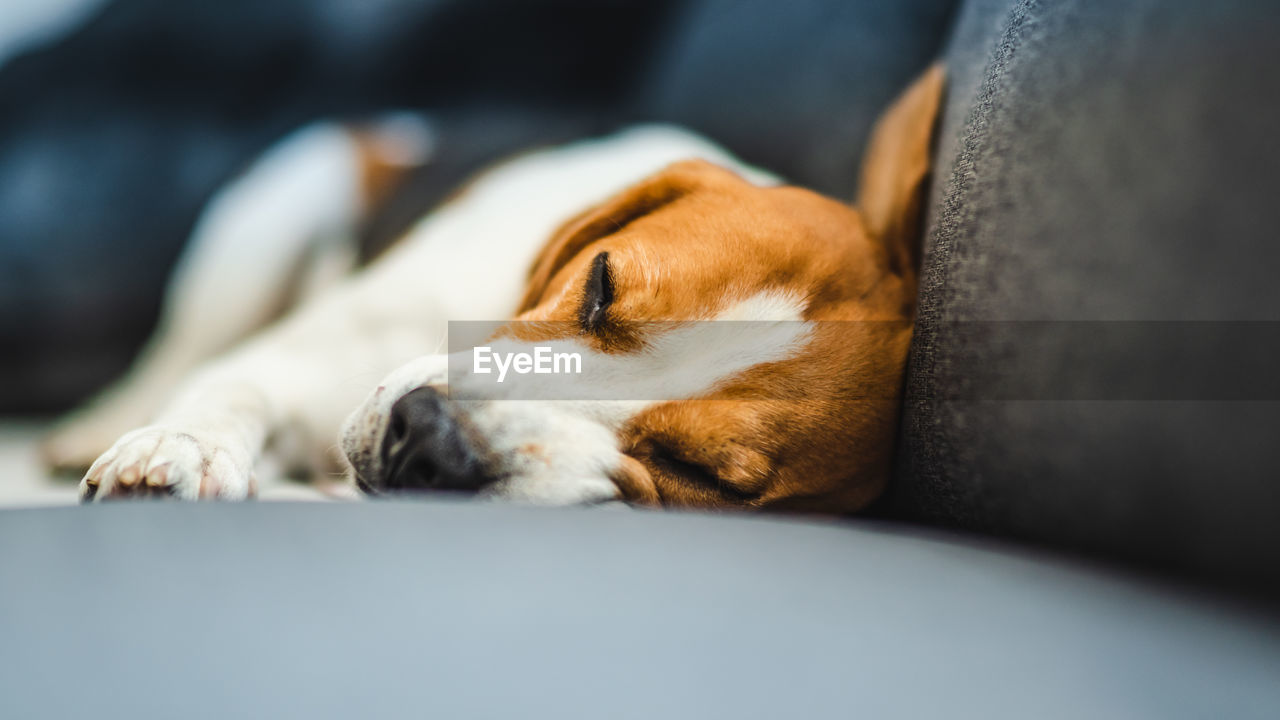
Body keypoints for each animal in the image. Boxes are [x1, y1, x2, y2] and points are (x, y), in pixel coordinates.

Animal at [45, 64, 947, 507]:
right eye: (599, 284)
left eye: (703, 475)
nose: (428, 441)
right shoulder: (288, 359)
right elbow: (232, 386)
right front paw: (180, 448)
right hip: (284, 203)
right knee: (176, 351)